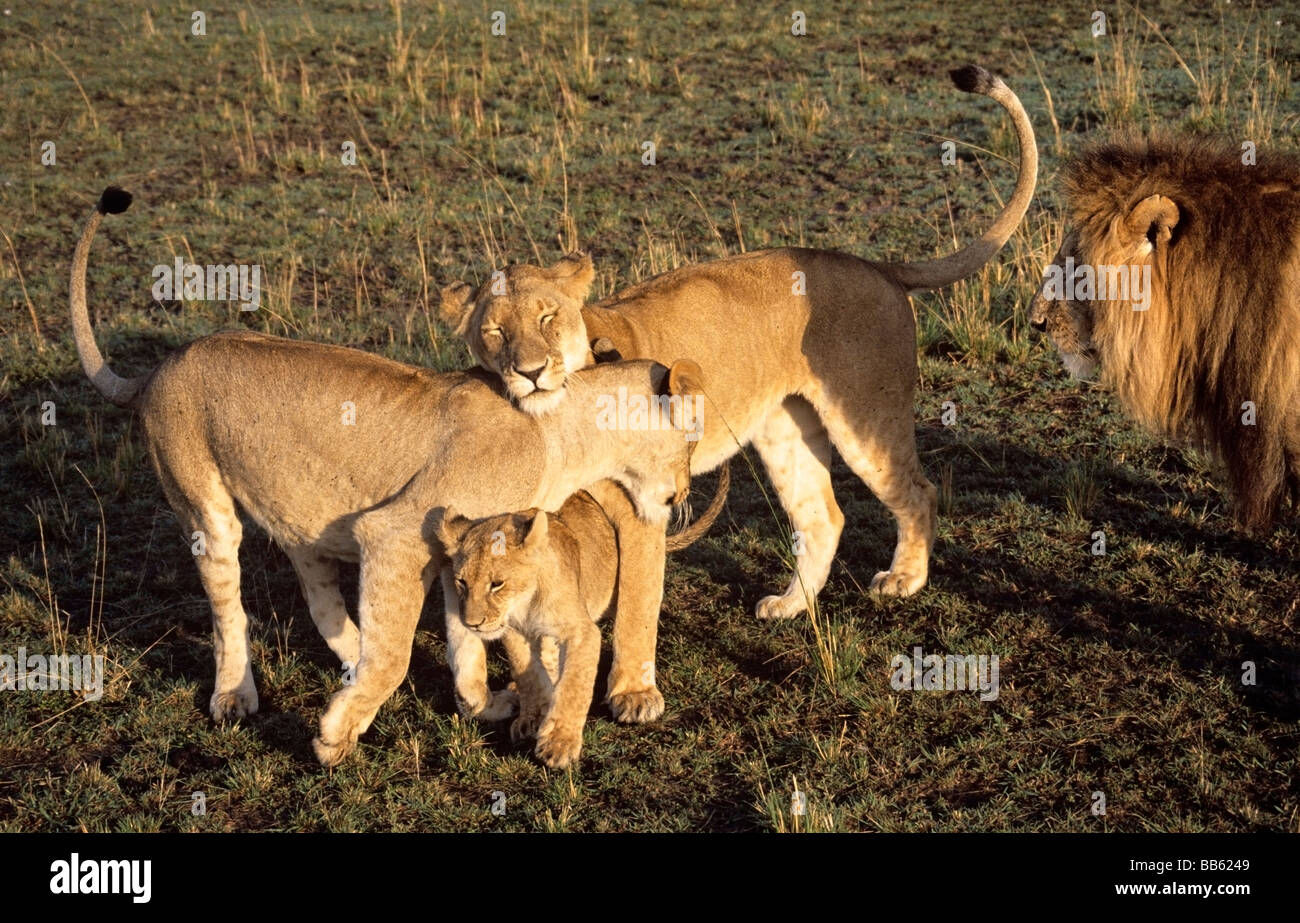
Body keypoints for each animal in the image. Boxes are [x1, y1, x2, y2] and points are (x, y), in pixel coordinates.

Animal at [437, 466, 727, 768]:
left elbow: (574, 685)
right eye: (461, 582)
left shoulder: (581, 632)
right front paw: (532, 718)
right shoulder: (516, 634)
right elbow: (529, 676)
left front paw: (559, 744)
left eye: (497, 584)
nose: (471, 623)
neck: (525, 604)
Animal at [438, 64, 1037, 716]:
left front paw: (634, 694)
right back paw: (790, 605)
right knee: (823, 516)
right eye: (495, 331)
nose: (529, 371)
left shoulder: (644, 512)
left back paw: (903, 579)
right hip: (784, 433)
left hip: (864, 421)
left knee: (919, 492)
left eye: (548, 318)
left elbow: (637, 605)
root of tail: (876, 265)